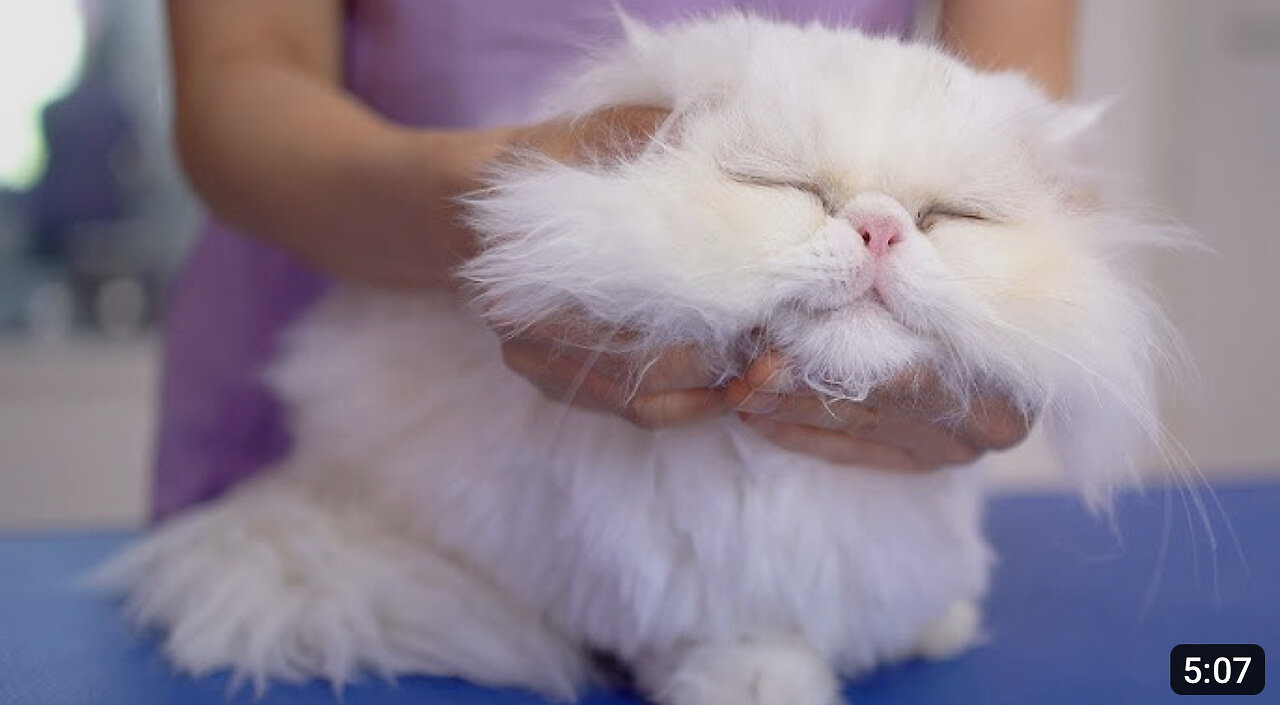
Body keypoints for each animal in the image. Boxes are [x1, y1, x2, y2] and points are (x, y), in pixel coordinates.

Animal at [99, 12, 1177, 705]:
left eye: (946, 219)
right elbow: (737, 642)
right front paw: (759, 686)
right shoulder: (688, 583)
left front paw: (932, 623)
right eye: (788, 190)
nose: (878, 230)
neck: (772, 467)